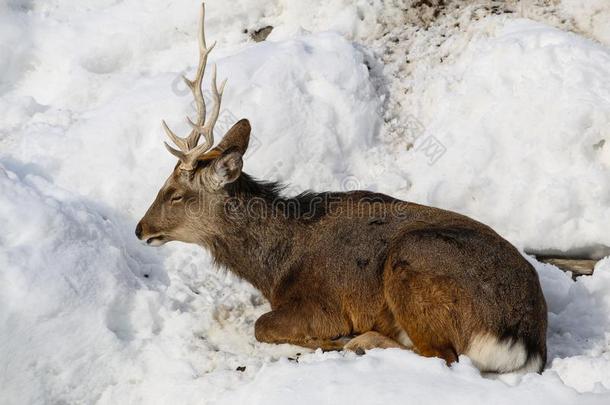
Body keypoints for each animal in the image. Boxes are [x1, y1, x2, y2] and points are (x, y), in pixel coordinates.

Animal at [137, 3, 548, 374]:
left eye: (174, 192)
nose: (140, 229)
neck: (275, 266)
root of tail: (523, 339)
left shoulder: (322, 305)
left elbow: (262, 325)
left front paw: (329, 342)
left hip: (412, 261)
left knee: (441, 355)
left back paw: (361, 342)